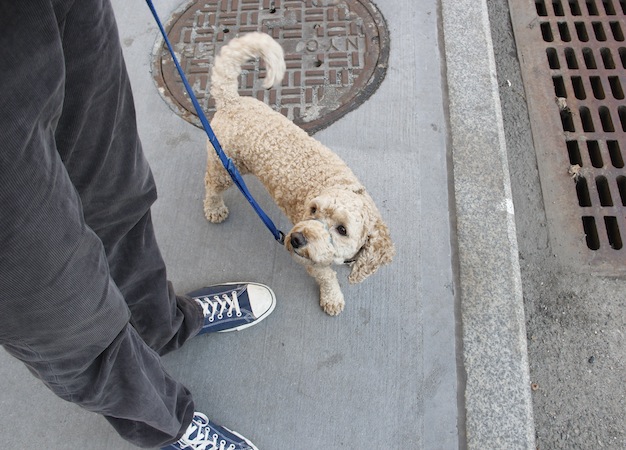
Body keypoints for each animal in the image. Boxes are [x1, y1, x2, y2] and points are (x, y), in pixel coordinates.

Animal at [203, 32, 394, 316]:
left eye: (342, 229)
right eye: (313, 209)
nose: (295, 238)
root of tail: (233, 101)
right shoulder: (312, 262)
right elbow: (327, 277)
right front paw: (332, 297)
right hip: (224, 166)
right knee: (211, 186)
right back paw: (214, 208)